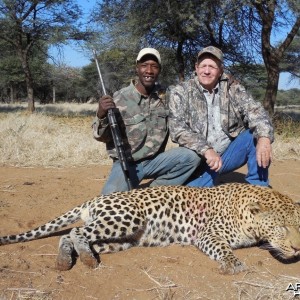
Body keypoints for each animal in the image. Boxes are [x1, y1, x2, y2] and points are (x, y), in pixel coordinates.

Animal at [0, 183, 298, 274]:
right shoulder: (207, 234)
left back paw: (71, 258)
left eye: (298, 227)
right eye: (281, 227)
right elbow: (222, 248)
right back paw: (78, 259)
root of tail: (93, 199)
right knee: (75, 233)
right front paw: (233, 263)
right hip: (127, 216)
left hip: (121, 239)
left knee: (74, 237)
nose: (297, 248)